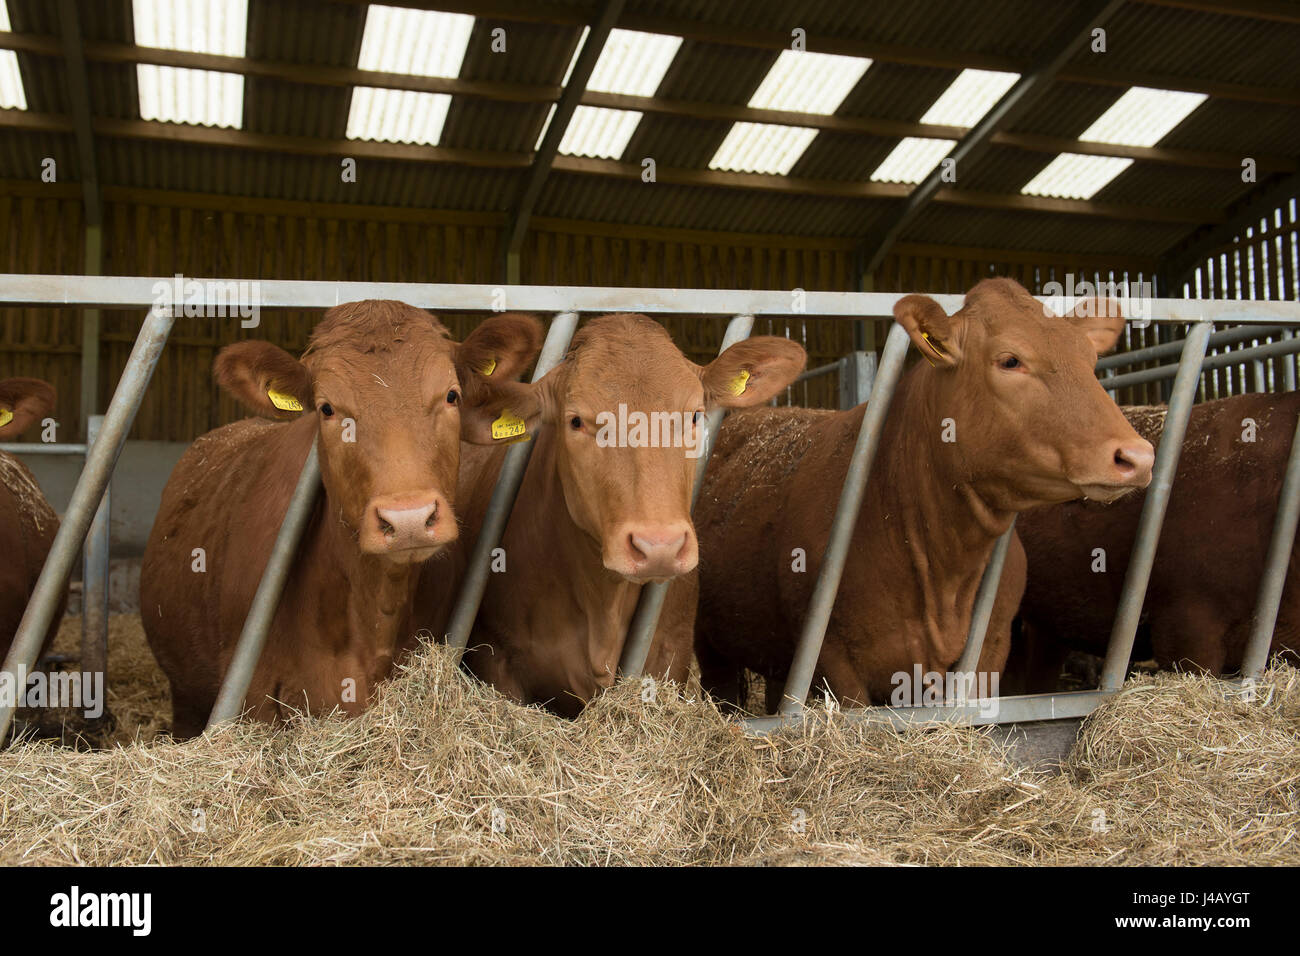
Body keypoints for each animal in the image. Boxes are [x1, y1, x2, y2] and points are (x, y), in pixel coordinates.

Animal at [413, 313, 805, 717]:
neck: (604, 608)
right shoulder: (496, 659)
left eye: (695, 415)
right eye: (575, 421)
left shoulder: (671, 653)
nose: (659, 546)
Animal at [693, 278, 1156, 711]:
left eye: (1091, 361)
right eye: (1010, 360)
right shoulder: (833, 662)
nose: (1137, 455)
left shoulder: (989, 651)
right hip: (712, 645)